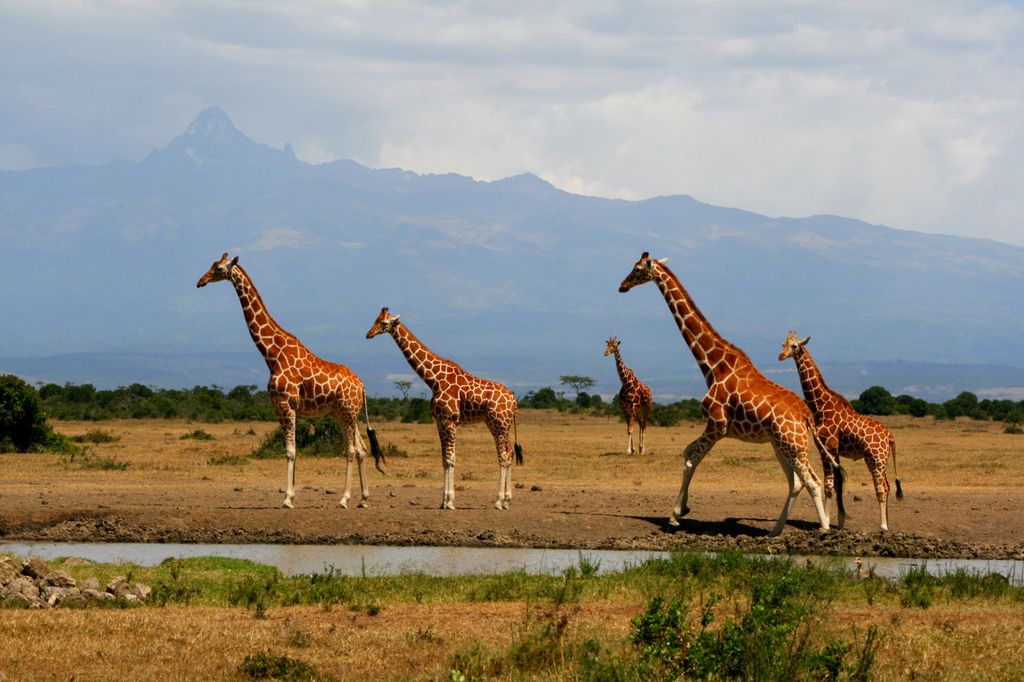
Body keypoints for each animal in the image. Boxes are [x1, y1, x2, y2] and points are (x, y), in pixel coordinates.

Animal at [196, 251, 385, 507]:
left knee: (352, 450)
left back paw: (344, 498)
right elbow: (291, 449)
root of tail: (362, 386)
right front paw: (291, 493)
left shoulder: (287, 404)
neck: (273, 354)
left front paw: (287, 499)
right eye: (211, 265)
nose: (200, 281)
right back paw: (363, 499)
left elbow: (290, 451)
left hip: (347, 412)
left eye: (217, 269)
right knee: (362, 448)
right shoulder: (278, 407)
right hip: (345, 414)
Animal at [364, 305, 524, 507]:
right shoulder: (439, 421)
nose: (368, 334)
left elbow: (450, 459)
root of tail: (513, 399)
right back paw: (507, 500)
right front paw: (443, 501)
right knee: (509, 453)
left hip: (499, 424)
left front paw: (449, 501)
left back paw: (498, 501)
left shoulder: (450, 420)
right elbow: (443, 460)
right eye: (374, 320)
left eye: (383, 322)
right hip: (501, 424)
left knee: (503, 456)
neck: (433, 379)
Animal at [614, 251, 839, 532]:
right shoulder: (714, 427)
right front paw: (684, 507)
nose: (622, 286)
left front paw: (675, 515)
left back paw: (823, 529)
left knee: (813, 482)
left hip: (793, 446)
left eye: (636, 269)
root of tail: (806, 415)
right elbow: (687, 453)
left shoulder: (717, 425)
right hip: (781, 446)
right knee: (797, 482)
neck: (713, 366)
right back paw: (775, 531)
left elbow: (690, 459)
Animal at [778, 331, 901, 528]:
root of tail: (889, 436)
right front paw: (840, 522)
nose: (781, 356)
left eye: (794, 346)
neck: (820, 405)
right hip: (882, 460)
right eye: (783, 344)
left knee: (881, 487)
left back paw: (882, 526)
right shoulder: (833, 449)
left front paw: (826, 522)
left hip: (875, 458)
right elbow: (837, 484)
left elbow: (828, 485)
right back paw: (887, 523)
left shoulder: (826, 446)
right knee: (888, 485)